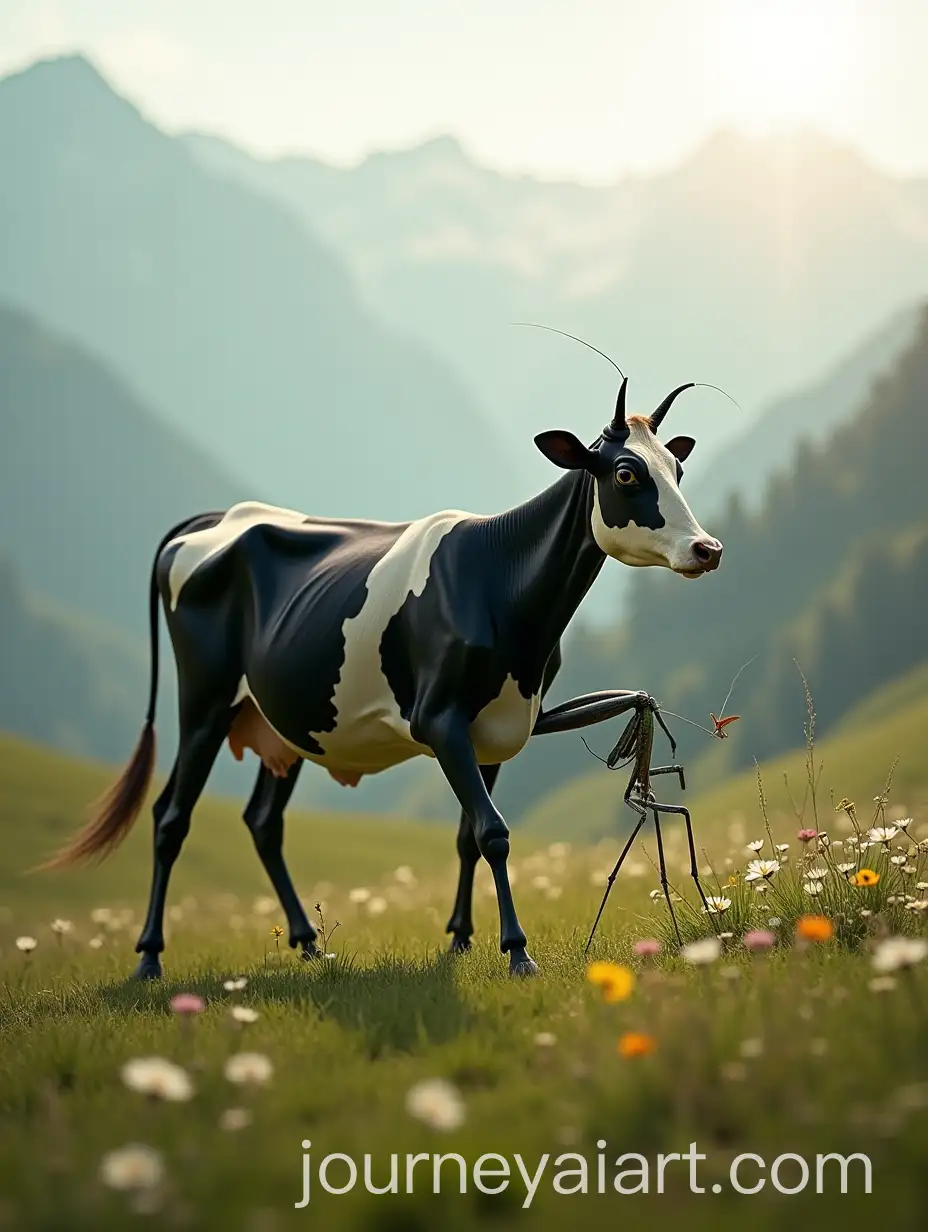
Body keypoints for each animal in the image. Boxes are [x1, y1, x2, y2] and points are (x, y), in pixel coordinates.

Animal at [45, 378, 722, 979]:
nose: (707, 549)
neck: (501, 589)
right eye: (627, 474)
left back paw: (310, 945)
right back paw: (149, 959)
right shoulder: (439, 717)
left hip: (286, 721)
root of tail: (217, 518)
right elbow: (493, 831)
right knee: (171, 815)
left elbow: (469, 835)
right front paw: (517, 951)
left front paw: (460, 940)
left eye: (677, 470)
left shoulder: (502, 721)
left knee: (263, 821)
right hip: (205, 698)